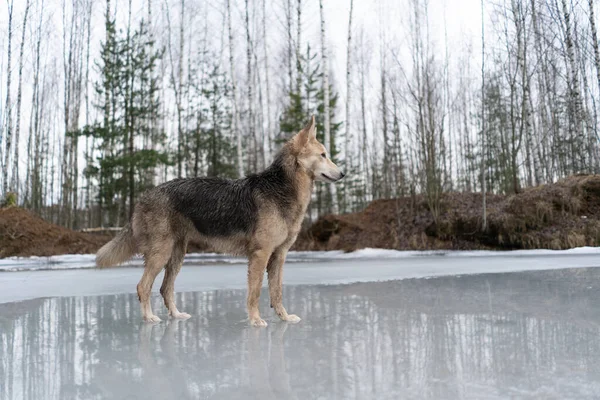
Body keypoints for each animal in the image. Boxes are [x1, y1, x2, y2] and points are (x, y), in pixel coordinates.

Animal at [96, 115, 344, 324]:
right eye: (323, 155)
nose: (343, 173)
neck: (282, 189)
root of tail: (144, 197)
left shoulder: (279, 256)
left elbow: (277, 292)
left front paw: (284, 318)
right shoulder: (260, 255)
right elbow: (255, 292)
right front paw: (255, 320)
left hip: (176, 256)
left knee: (165, 288)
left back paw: (177, 315)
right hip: (161, 255)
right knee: (143, 287)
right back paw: (149, 318)